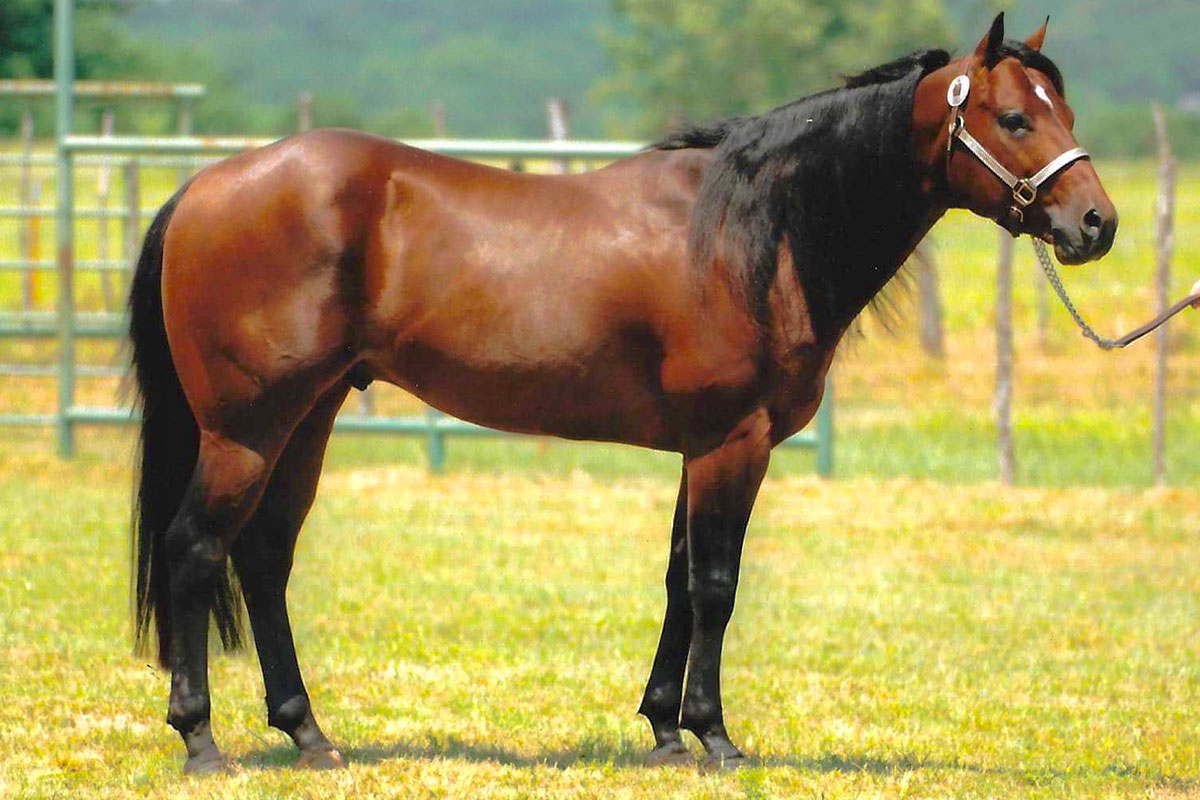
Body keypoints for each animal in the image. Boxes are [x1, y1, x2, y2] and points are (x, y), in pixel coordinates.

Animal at [128, 13, 1116, 774]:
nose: (1096, 224)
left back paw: (309, 735)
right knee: (195, 549)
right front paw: (716, 738)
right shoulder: (732, 443)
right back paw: (201, 741)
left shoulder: (700, 447)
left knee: (263, 558)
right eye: (1013, 116)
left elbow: (679, 578)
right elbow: (716, 584)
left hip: (309, 418)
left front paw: (665, 729)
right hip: (247, 429)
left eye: (1061, 109)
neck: (752, 232)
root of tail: (205, 185)